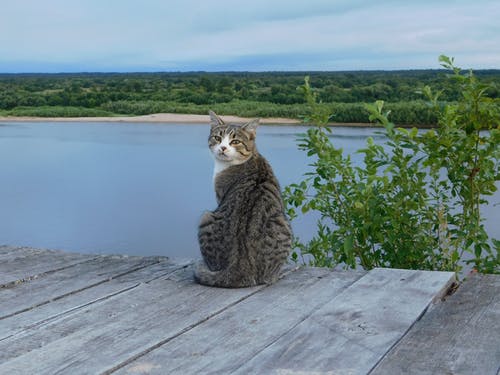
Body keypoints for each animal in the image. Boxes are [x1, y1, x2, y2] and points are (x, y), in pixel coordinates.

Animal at [193, 111, 292, 288]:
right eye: (218, 138)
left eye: (235, 141)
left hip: (206, 216)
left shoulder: (219, 195)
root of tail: (239, 265)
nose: (223, 148)